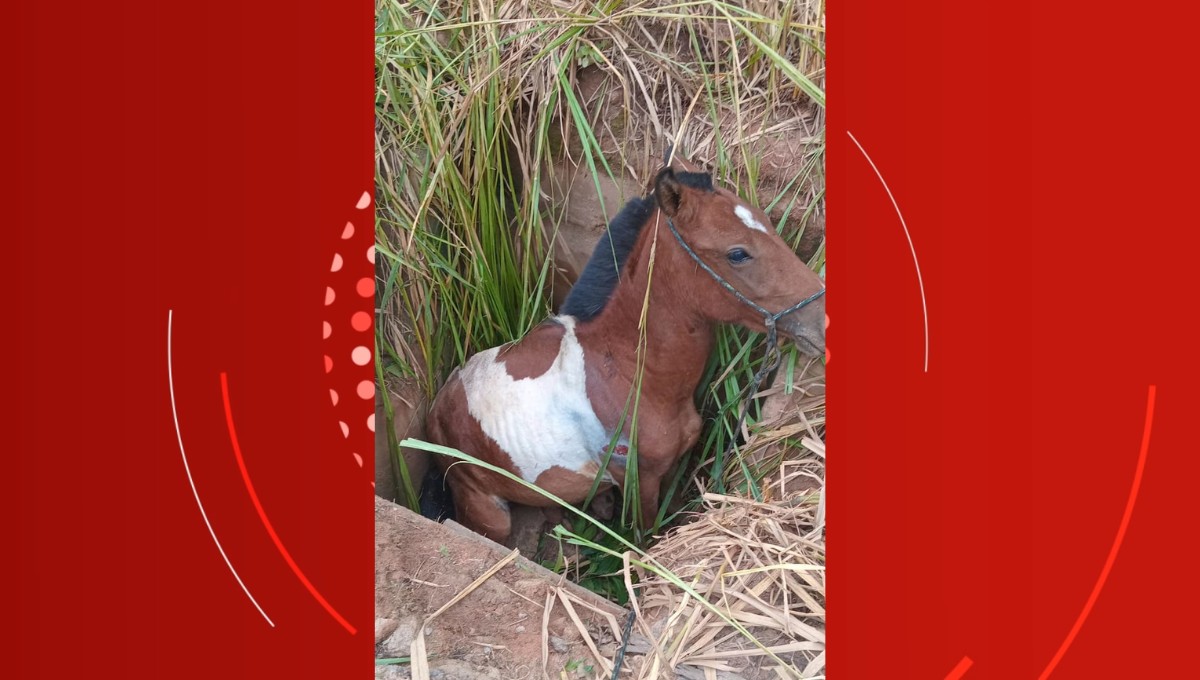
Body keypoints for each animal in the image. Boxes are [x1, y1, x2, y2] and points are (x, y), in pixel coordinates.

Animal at [424, 161, 826, 544]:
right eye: (738, 254)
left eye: (769, 223)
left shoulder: (669, 468)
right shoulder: (639, 481)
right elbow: (646, 534)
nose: (823, 321)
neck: (627, 369)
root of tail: (436, 409)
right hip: (489, 514)